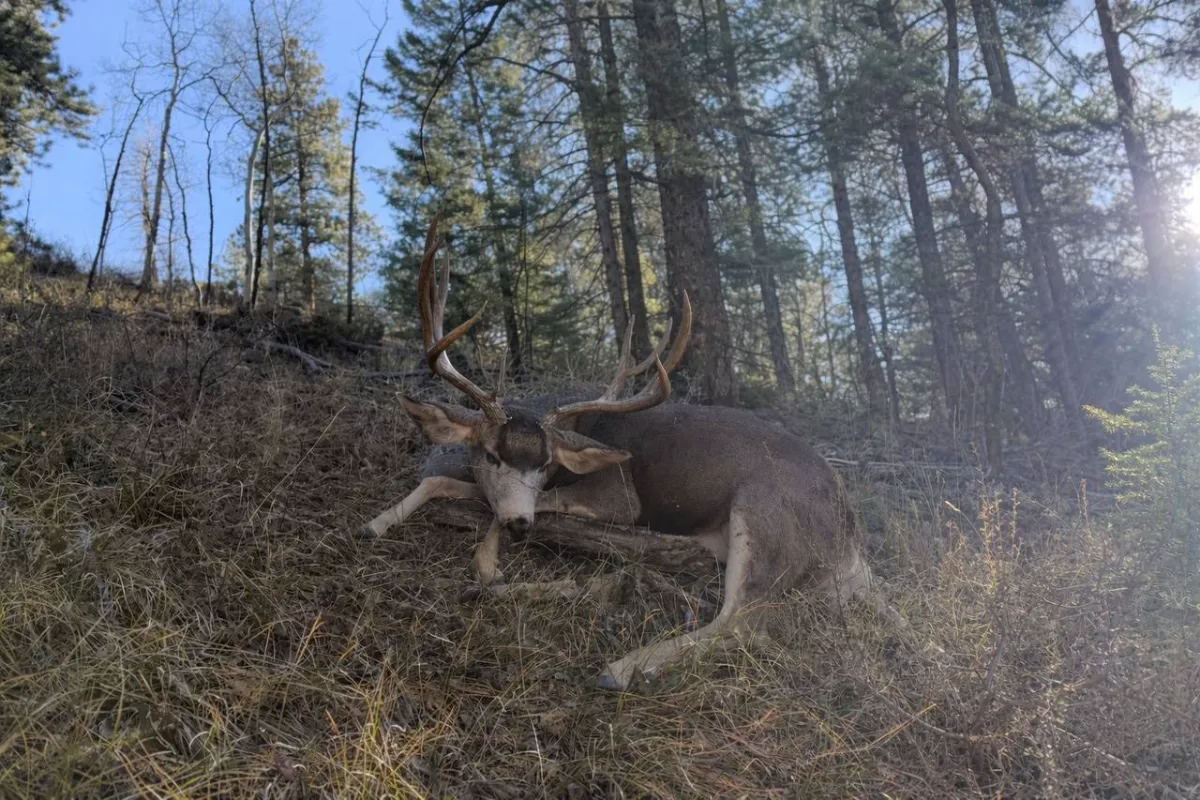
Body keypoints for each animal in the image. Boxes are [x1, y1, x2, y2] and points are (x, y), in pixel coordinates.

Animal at [362, 215, 900, 690]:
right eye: (492, 455)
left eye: (545, 463)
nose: (521, 525)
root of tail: (854, 547)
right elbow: (443, 482)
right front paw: (376, 524)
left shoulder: (617, 497)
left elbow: (513, 506)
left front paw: (488, 565)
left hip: (765, 512)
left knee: (745, 621)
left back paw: (620, 667)